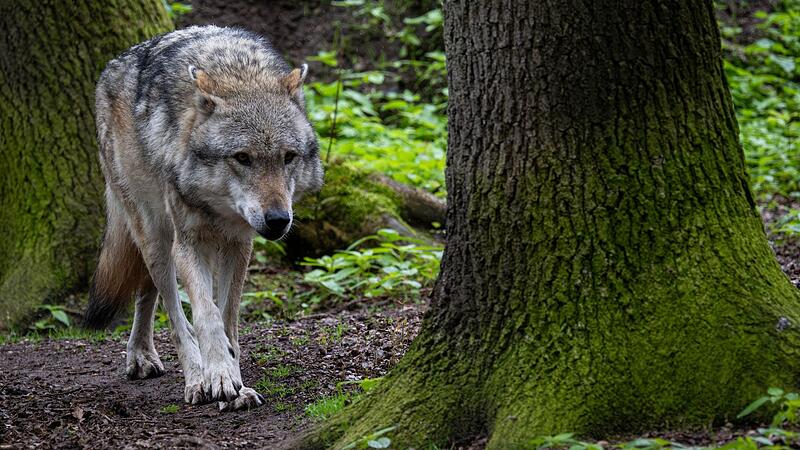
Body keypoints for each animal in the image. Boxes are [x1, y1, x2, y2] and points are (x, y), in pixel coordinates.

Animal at [84, 25, 323, 410]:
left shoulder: (239, 246)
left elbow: (228, 319)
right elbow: (206, 317)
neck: (237, 73)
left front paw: (236, 381)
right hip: (156, 238)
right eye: (242, 157)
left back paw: (143, 354)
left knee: (147, 292)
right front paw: (219, 377)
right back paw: (193, 378)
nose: (277, 220)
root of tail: (112, 66)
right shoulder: (189, 245)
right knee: (173, 312)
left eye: (288, 157)